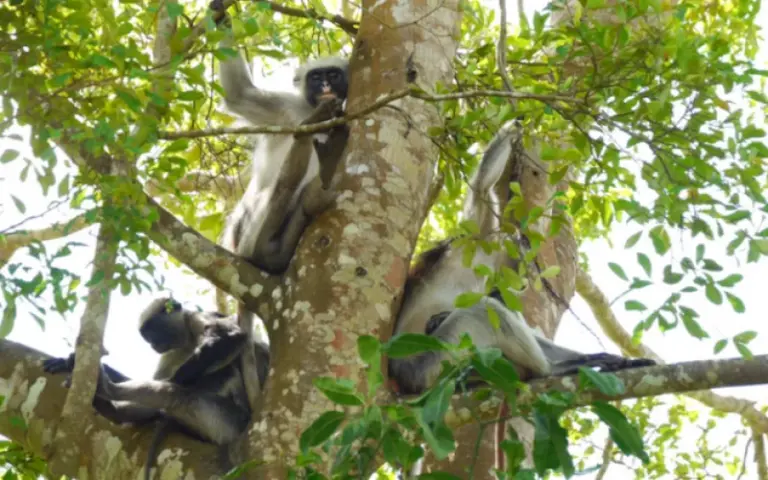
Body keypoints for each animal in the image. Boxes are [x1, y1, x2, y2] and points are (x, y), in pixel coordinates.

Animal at [43, 297, 270, 479]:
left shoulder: (197, 318)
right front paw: (67, 362)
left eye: (154, 334)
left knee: (184, 390)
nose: (153, 345)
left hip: (228, 420)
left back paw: (110, 392)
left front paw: (177, 380)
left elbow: (229, 337)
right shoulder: (172, 350)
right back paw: (113, 409)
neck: (188, 340)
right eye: (149, 338)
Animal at [388, 128, 655, 395]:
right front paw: (515, 128)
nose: (524, 281)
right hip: (433, 363)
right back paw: (548, 370)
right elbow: (481, 188)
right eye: (523, 267)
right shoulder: (479, 237)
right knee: (486, 308)